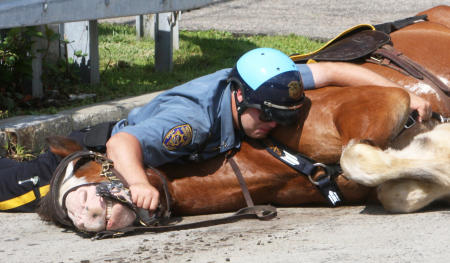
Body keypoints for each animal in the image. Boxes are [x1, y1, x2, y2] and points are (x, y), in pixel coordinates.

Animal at [37, 6, 448, 237]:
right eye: (65, 216)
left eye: (87, 166)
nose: (82, 211)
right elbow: (394, 189)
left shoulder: (382, 102)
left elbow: (361, 158)